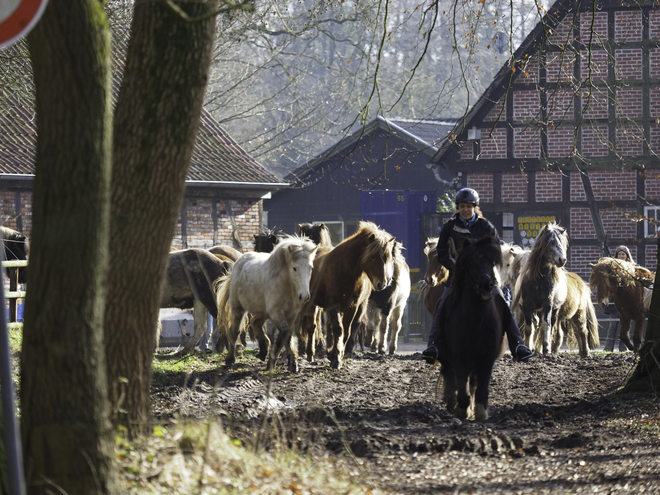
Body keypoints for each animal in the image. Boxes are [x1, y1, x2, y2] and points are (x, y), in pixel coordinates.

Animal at [217, 236, 318, 372]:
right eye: (294, 268)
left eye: (310, 268)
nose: (304, 296)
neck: (286, 285)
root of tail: (240, 260)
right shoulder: (276, 312)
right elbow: (284, 333)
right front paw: (282, 362)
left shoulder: (291, 315)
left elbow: (284, 336)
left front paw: (287, 362)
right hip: (238, 308)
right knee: (235, 331)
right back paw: (230, 359)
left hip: (262, 312)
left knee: (255, 322)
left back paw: (263, 351)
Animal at [300, 223, 398, 370]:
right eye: (373, 256)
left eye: (389, 258)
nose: (382, 283)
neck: (345, 271)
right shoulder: (334, 306)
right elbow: (338, 329)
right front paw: (336, 359)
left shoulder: (352, 307)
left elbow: (346, 331)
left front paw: (338, 355)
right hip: (311, 303)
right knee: (312, 327)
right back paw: (310, 354)